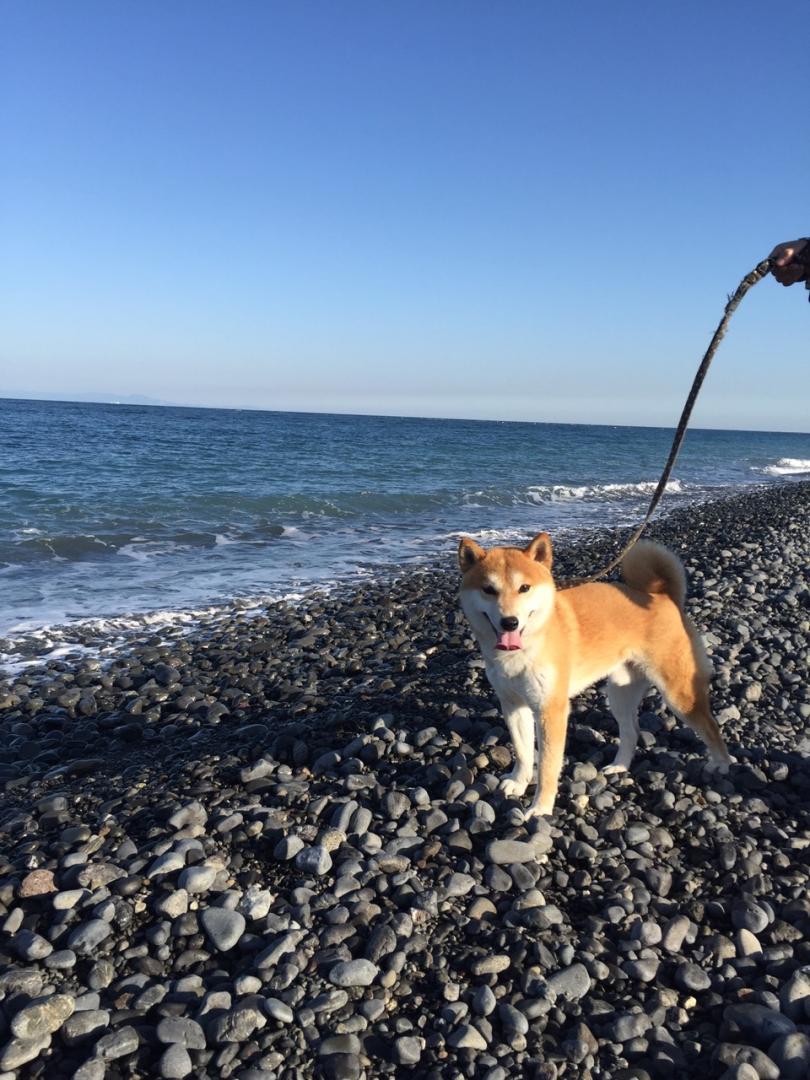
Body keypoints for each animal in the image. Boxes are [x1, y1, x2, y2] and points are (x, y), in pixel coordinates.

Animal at [460, 527, 734, 812]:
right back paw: (619, 766)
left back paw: (721, 764)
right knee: (631, 731)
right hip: (620, 692)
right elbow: (523, 752)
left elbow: (547, 766)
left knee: (710, 725)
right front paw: (518, 782)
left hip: (678, 693)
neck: (522, 650)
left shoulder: (550, 709)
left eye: (524, 588)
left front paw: (541, 808)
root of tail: (663, 597)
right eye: (488, 590)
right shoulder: (513, 704)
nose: (510, 622)